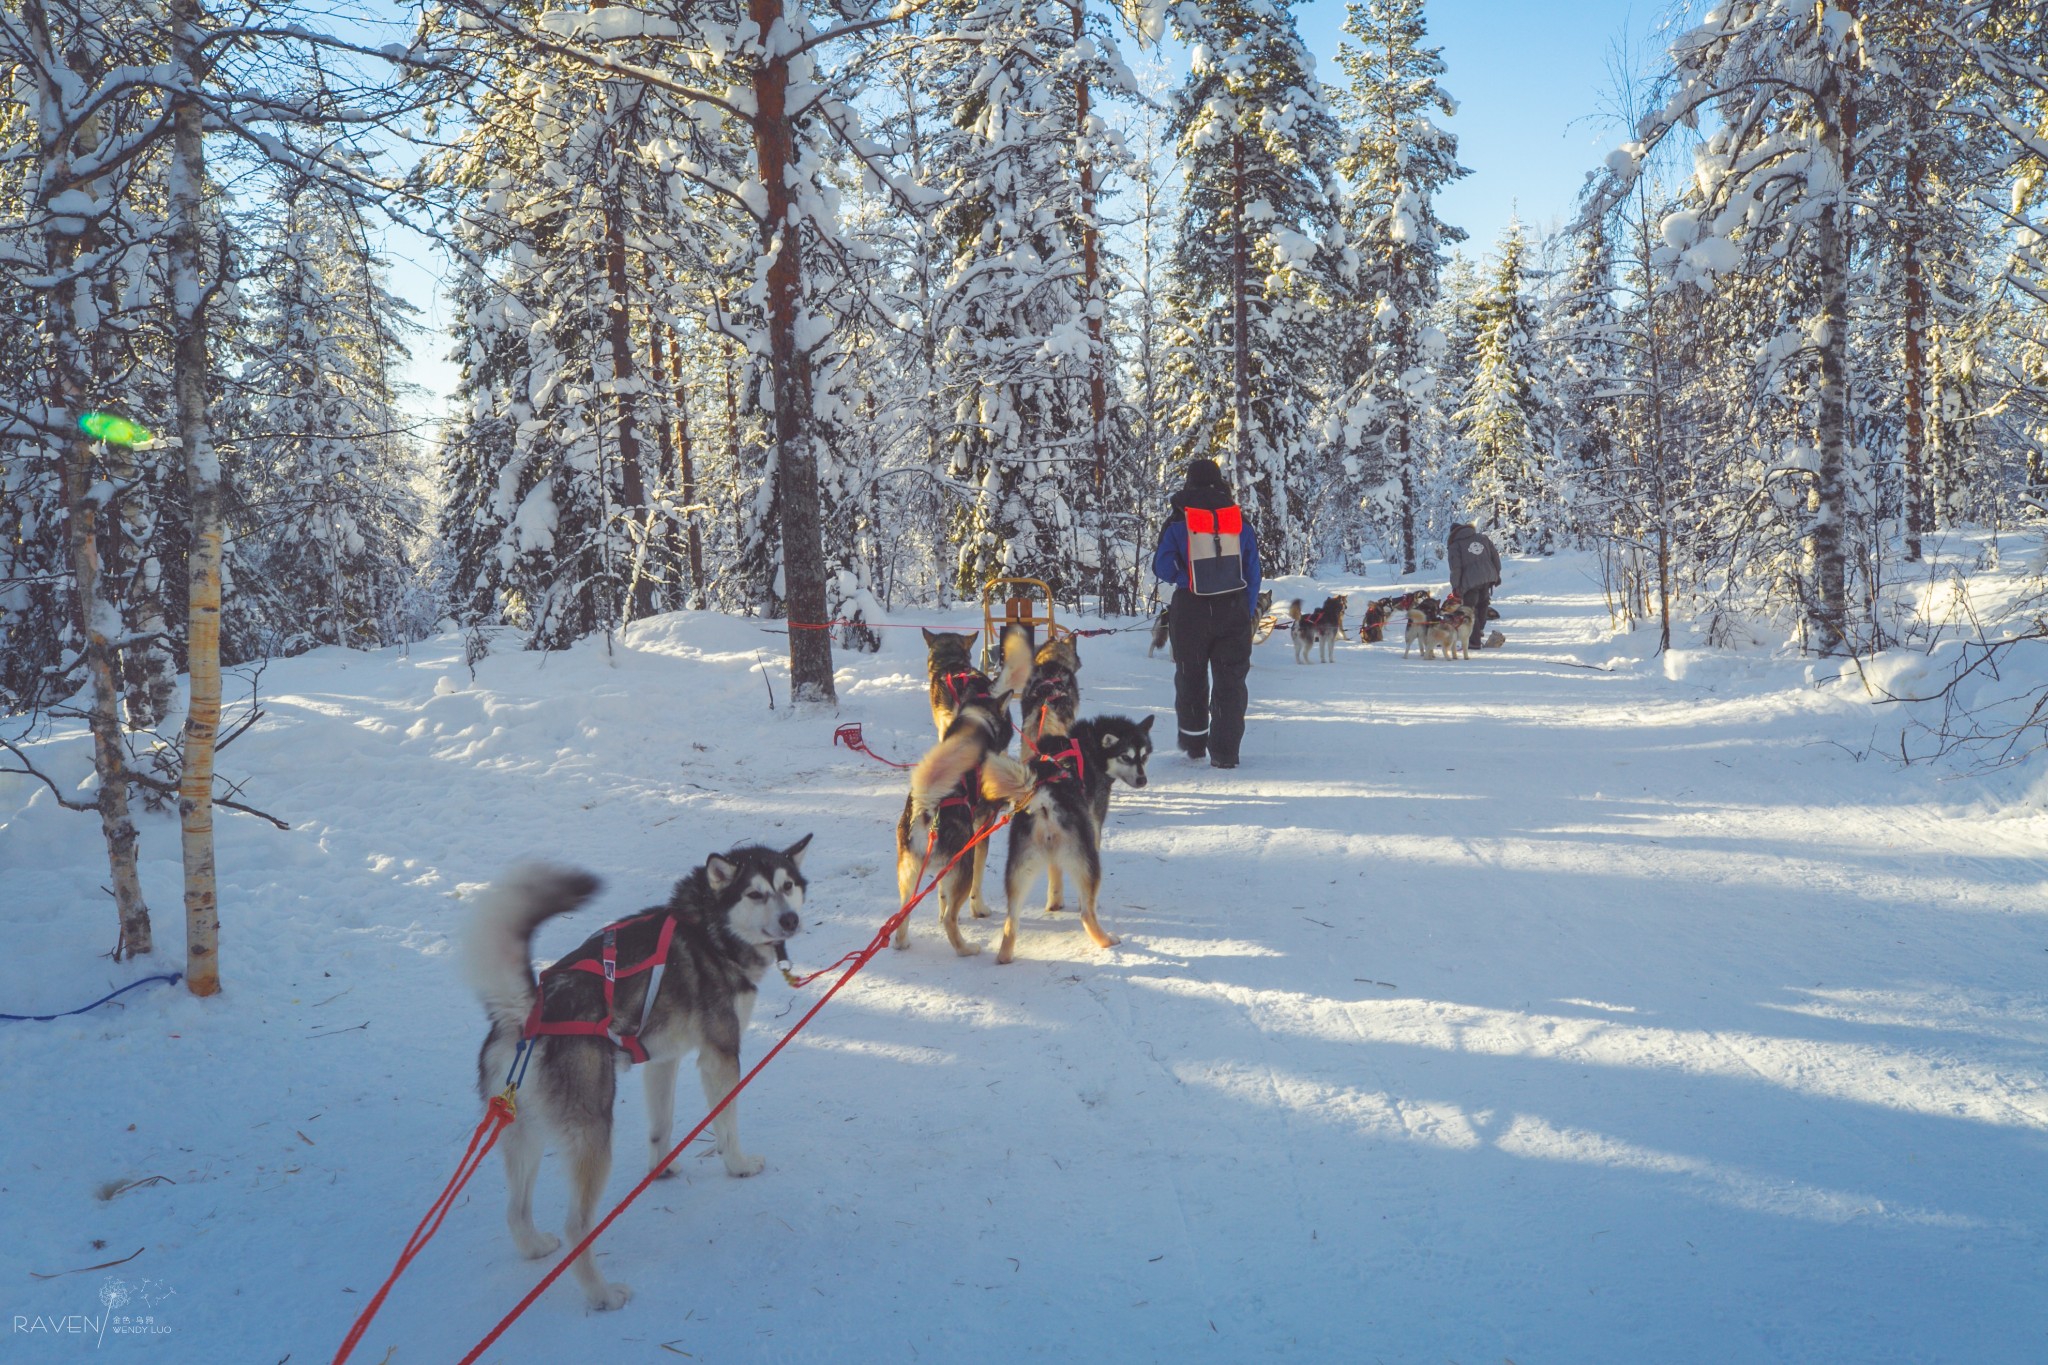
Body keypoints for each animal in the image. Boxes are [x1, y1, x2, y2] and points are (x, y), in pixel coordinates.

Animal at [468, 843, 811, 1309]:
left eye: (787, 886)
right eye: (755, 894)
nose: (790, 920)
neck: (709, 931)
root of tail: (531, 1013)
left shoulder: (664, 1059)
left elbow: (660, 1126)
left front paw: (661, 1169)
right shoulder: (720, 1056)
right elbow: (726, 1124)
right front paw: (738, 1165)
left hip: (524, 1133)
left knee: (516, 1211)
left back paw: (535, 1246)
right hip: (593, 1134)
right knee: (578, 1227)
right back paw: (602, 1294)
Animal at [901, 679, 1019, 957]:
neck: (976, 721)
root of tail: (927, 808)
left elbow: (942, 894)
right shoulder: (982, 829)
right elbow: (979, 878)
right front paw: (980, 909)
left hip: (910, 875)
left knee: (902, 917)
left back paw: (901, 942)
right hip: (963, 862)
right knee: (949, 920)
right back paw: (966, 949)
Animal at [978, 720, 1155, 965]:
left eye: (1144, 756)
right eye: (1126, 757)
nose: (1142, 780)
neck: (1088, 745)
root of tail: (1045, 795)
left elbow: (1055, 872)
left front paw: (1055, 902)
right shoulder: (1095, 826)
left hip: (1019, 869)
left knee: (1011, 922)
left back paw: (1005, 955)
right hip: (1087, 860)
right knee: (1087, 915)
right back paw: (1107, 940)